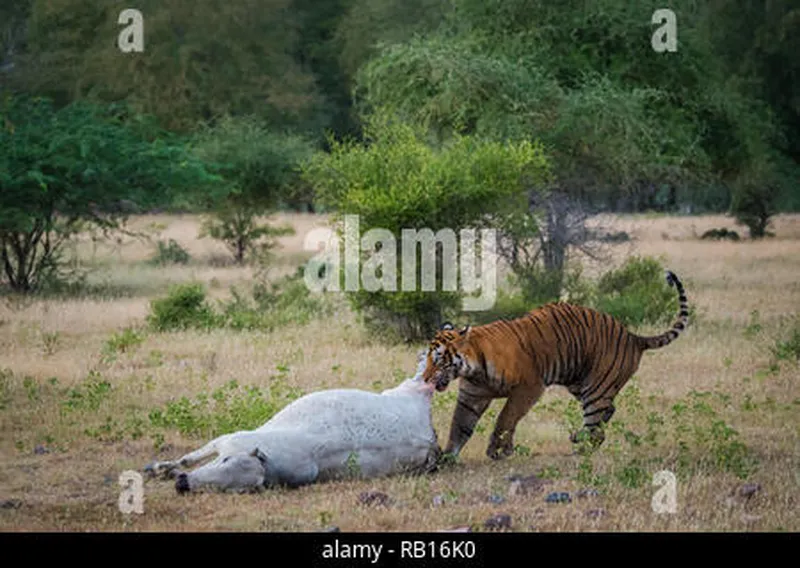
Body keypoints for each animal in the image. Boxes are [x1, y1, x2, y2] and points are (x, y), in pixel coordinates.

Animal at [145, 360, 444, 492]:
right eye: (225, 461)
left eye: (238, 489)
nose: (183, 484)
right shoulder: (224, 443)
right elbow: (188, 458)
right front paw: (162, 469)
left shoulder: (227, 439)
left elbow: (187, 458)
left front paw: (163, 469)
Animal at [422, 268, 692, 460]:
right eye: (426, 359)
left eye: (439, 359)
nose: (425, 379)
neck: (474, 367)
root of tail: (633, 337)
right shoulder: (472, 395)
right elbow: (459, 426)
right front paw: (447, 456)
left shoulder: (528, 388)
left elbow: (506, 418)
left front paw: (498, 451)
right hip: (581, 384)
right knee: (607, 412)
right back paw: (578, 438)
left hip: (596, 388)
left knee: (596, 425)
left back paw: (579, 448)